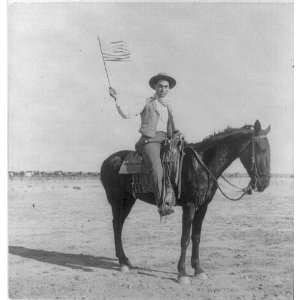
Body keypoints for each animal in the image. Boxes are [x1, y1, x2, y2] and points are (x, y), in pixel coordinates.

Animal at [99, 119, 270, 282]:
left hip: (128, 200)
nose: (264, 183)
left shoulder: (203, 206)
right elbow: (185, 239)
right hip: (118, 200)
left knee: (118, 224)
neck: (202, 165)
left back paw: (125, 261)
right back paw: (123, 262)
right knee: (117, 225)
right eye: (261, 149)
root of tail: (107, 161)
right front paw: (182, 273)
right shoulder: (189, 206)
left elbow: (196, 237)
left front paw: (198, 270)